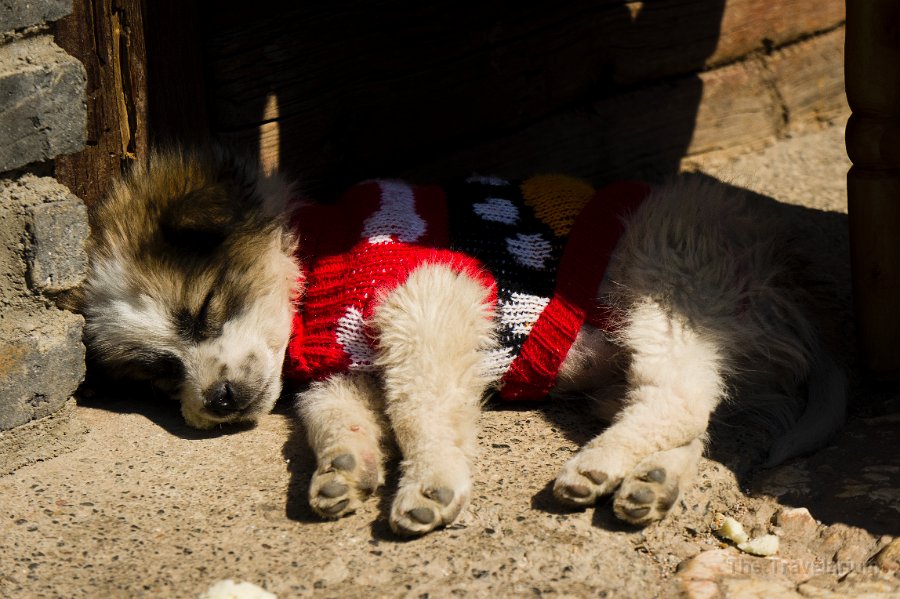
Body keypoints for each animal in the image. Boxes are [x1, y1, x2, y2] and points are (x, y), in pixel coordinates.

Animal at [77, 148, 844, 536]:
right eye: (159, 372)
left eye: (203, 311)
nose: (217, 402)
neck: (317, 272)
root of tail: (796, 283)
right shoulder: (342, 369)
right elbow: (336, 421)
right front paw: (344, 468)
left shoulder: (431, 305)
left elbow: (421, 413)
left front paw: (431, 483)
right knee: (693, 414)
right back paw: (647, 483)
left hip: (667, 279)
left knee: (679, 398)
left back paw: (596, 466)